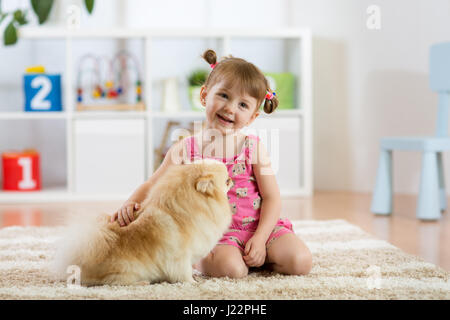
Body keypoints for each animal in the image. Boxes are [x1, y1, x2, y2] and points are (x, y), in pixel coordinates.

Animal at [53, 159, 232, 286]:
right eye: (226, 180)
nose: (231, 178)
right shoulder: (179, 256)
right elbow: (184, 272)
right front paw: (193, 282)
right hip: (127, 270)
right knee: (114, 283)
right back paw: (142, 283)